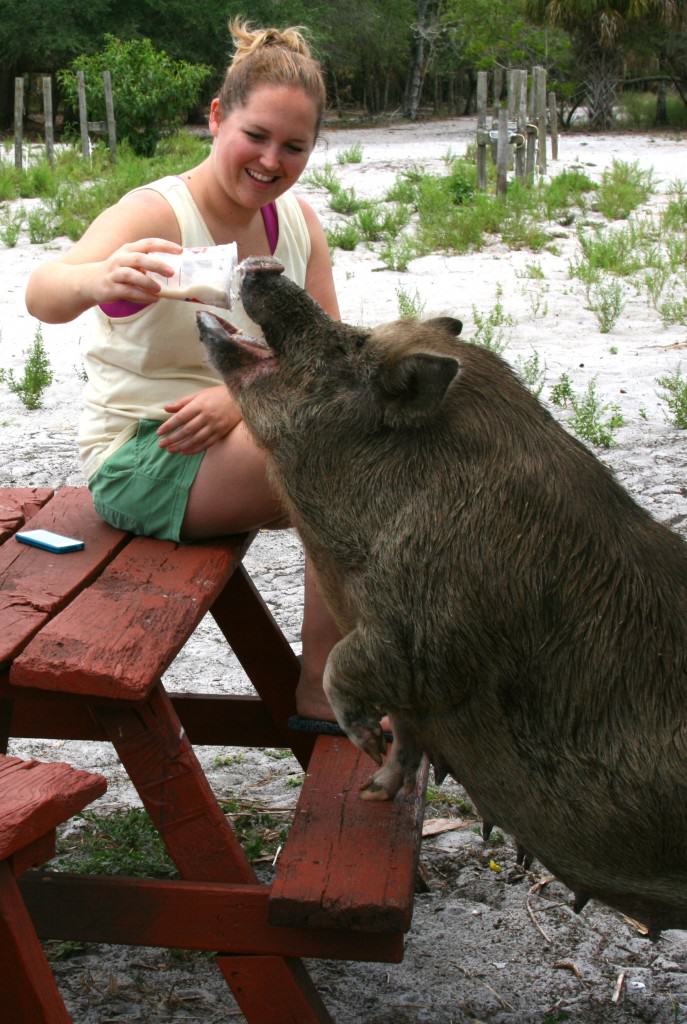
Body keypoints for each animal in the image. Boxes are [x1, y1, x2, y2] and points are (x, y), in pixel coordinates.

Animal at [196, 258, 687, 937]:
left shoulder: (427, 637)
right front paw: (373, 789)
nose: (264, 265)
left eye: (353, 346)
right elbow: (406, 731)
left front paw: (363, 744)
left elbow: (348, 666)